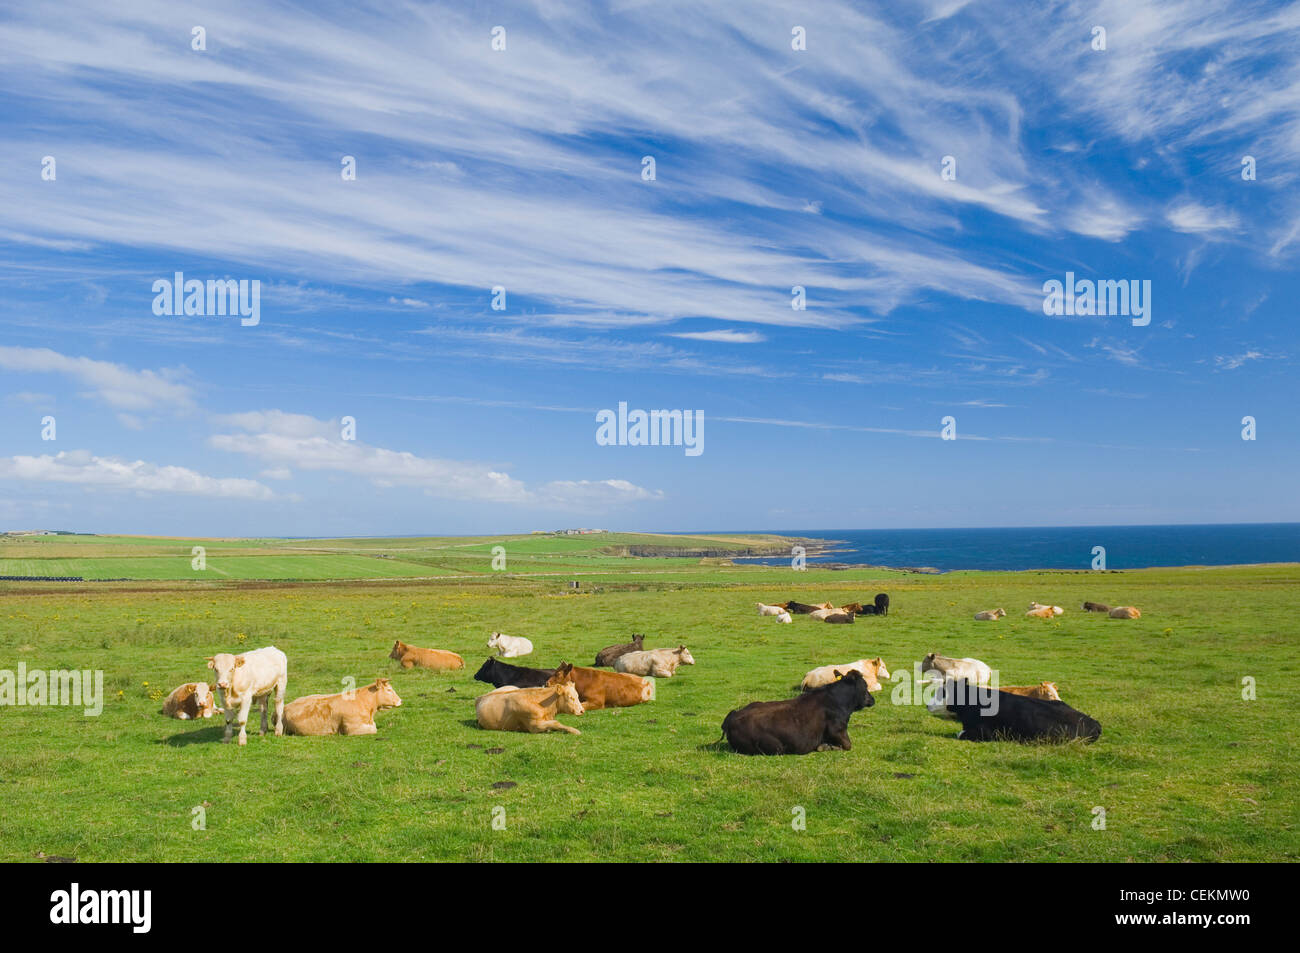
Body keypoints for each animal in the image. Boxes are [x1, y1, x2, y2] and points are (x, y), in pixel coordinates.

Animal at [722, 665, 873, 754]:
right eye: (865, 685)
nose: (872, 700)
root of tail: (732, 717)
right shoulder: (838, 730)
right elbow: (848, 745)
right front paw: (825, 746)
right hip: (774, 747)